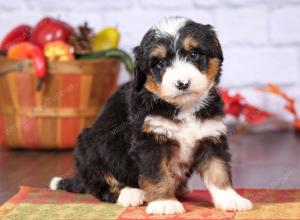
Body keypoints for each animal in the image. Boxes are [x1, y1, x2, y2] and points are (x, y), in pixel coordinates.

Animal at [50, 17, 252, 215]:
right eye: (160, 63)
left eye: (194, 54)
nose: (183, 83)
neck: (183, 107)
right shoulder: (150, 140)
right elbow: (157, 174)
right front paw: (165, 203)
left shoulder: (211, 136)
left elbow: (218, 170)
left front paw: (231, 198)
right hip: (90, 146)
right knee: (101, 184)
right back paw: (130, 193)